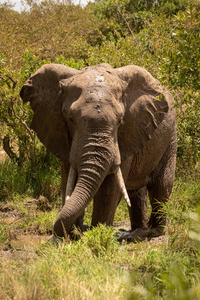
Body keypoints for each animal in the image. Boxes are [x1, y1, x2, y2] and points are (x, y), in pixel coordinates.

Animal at [19, 62, 177, 241]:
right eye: (71, 119)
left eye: (120, 121)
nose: (80, 230)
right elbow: (68, 179)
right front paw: (74, 235)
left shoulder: (126, 136)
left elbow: (109, 187)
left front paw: (97, 234)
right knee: (136, 191)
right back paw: (134, 232)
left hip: (170, 136)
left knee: (161, 186)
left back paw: (149, 232)